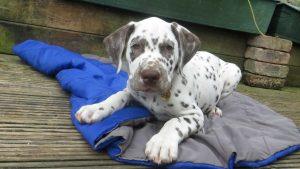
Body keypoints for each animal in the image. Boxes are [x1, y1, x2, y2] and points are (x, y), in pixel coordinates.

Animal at [75, 17, 241, 164]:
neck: (153, 96)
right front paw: (95, 108)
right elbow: (118, 95)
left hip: (234, 72)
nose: (150, 75)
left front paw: (161, 143)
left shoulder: (194, 113)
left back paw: (214, 110)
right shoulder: (132, 90)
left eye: (168, 47)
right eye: (136, 46)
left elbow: (175, 122)